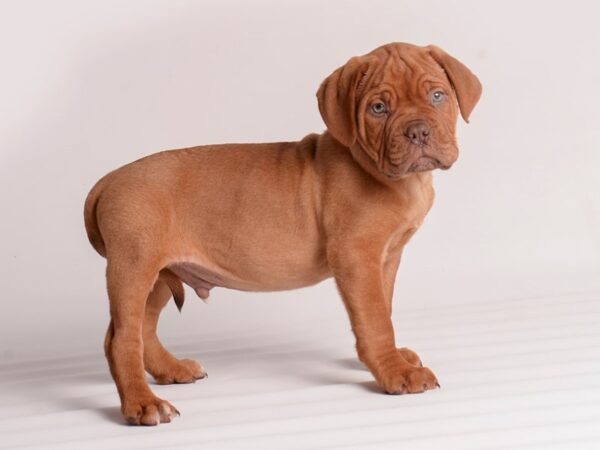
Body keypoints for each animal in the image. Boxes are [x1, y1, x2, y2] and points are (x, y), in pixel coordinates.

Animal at [83, 42, 482, 426]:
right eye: (379, 108)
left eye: (437, 96)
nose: (418, 131)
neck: (395, 178)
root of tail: (109, 180)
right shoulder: (356, 256)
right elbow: (375, 320)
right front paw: (395, 372)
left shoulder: (387, 258)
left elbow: (384, 307)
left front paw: (393, 358)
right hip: (133, 268)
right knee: (122, 339)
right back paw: (144, 404)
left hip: (159, 275)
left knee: (141, 329)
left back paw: (171, 370)